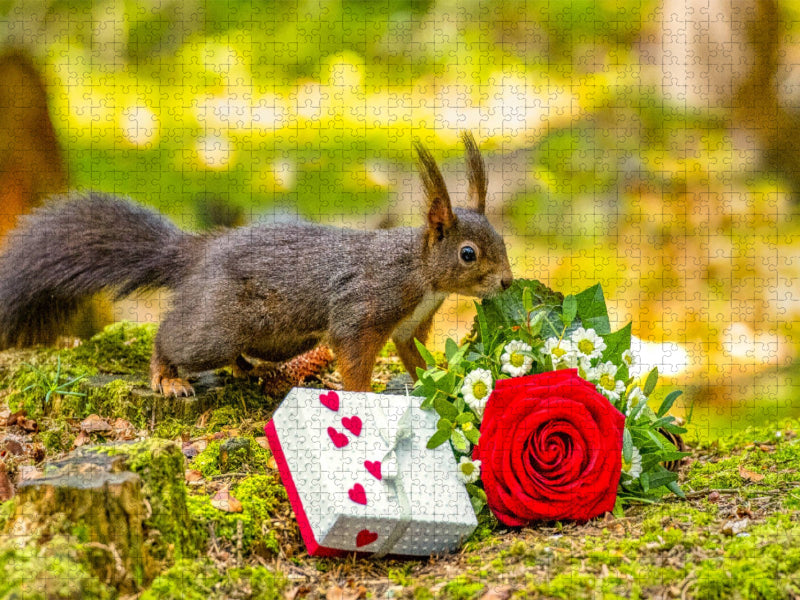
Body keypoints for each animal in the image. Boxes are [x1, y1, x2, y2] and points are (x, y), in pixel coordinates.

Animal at [0, 132, 513, 396]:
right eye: (468, 253)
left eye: (502, 240)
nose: (508, 282)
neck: (421, 273)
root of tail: (198, 253)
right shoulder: (362, 307)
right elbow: (353, 357)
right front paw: (364, 397)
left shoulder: (410, 326)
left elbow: (414, 356)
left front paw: (437, 379)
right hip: (217, 325)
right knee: (175, 337)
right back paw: (168, 377)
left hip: (279, 338)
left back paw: (246, 369)